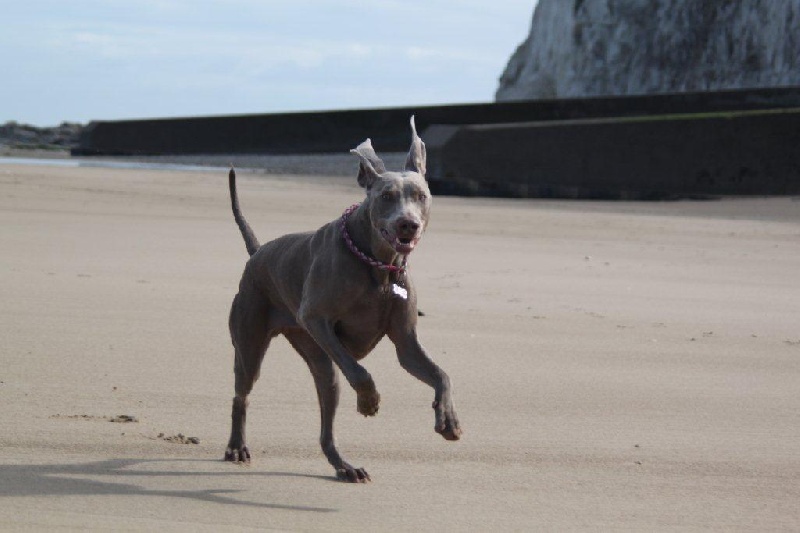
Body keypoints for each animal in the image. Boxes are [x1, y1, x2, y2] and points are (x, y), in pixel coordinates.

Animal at [224, 117, 461, 482]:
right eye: (386, 197)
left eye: (421, 196)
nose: (408, 224)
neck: (377, 264)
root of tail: (258, 252)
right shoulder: (315, 319)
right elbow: (361, 372)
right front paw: (369, 401)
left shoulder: (406, 343)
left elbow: (441, 374)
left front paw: (447, 419)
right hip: (253, 339)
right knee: (242, 394)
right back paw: (237, 447)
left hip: (319, 361)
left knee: (326, 423)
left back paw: (344, 466)